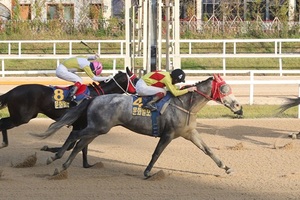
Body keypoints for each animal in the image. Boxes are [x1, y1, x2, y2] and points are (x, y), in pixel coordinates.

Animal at [34, 74, 244, 177]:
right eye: (224, 89)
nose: (238, 106)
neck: (185, 105)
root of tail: (94, 98)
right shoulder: (167, 134)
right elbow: (156, 153)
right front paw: (148, 172)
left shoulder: (190, 132)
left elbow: (208, 150)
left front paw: (226, 168)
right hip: (97, 128)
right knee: (75, 136)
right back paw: (54, 158)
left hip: (98, 129)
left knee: (79, 145)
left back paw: (62, 167)